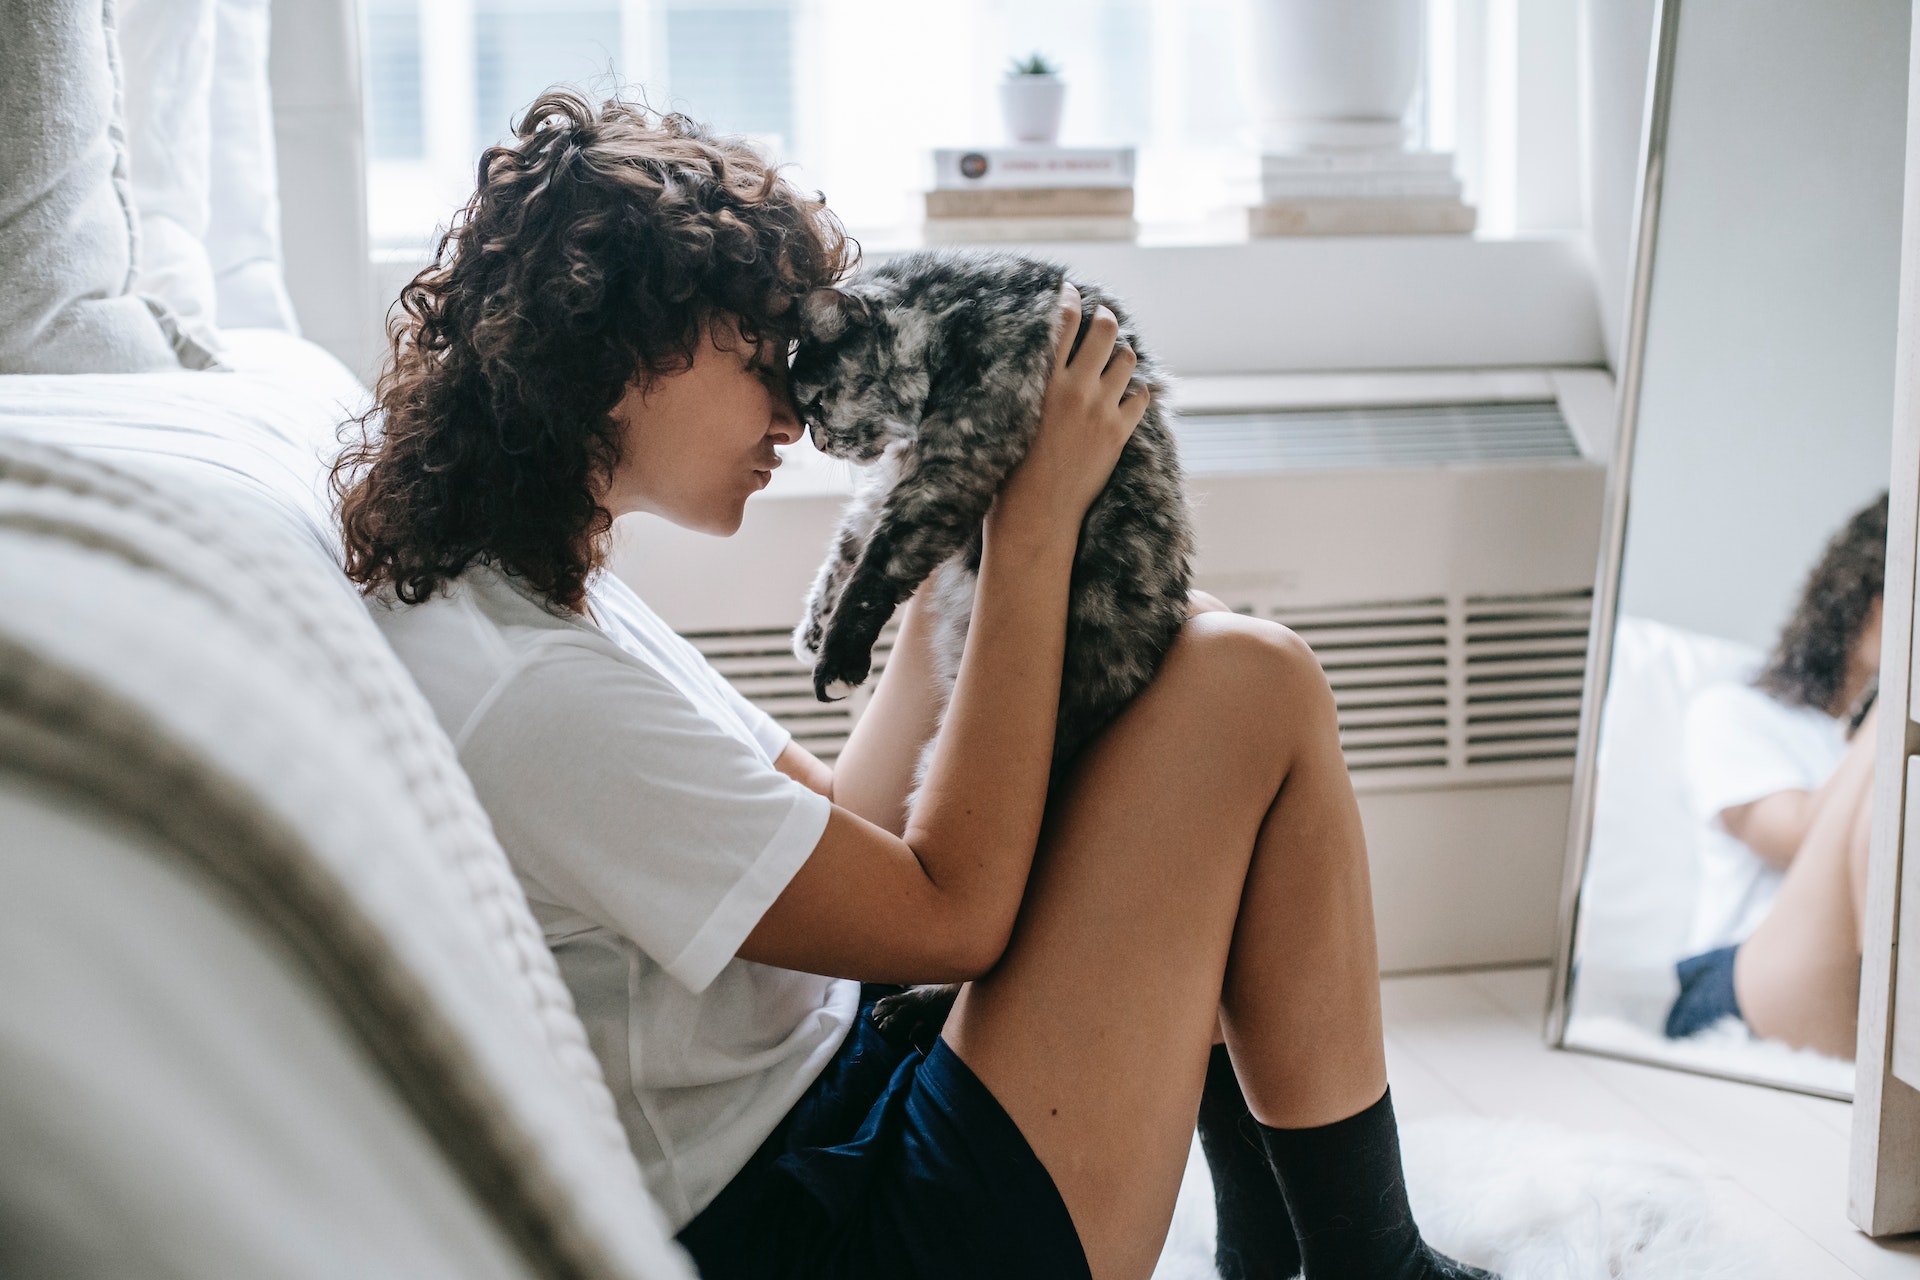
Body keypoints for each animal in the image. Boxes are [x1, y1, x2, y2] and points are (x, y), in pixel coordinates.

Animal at [787, 247, 1190, 1043]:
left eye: (815, 401)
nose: (816, 440)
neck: (959, 309)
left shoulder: (952, 464)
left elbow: (877, 561)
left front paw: (838, 657)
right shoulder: (895, 476)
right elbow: (845, 547)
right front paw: (814, 629)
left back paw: (910, 1006)